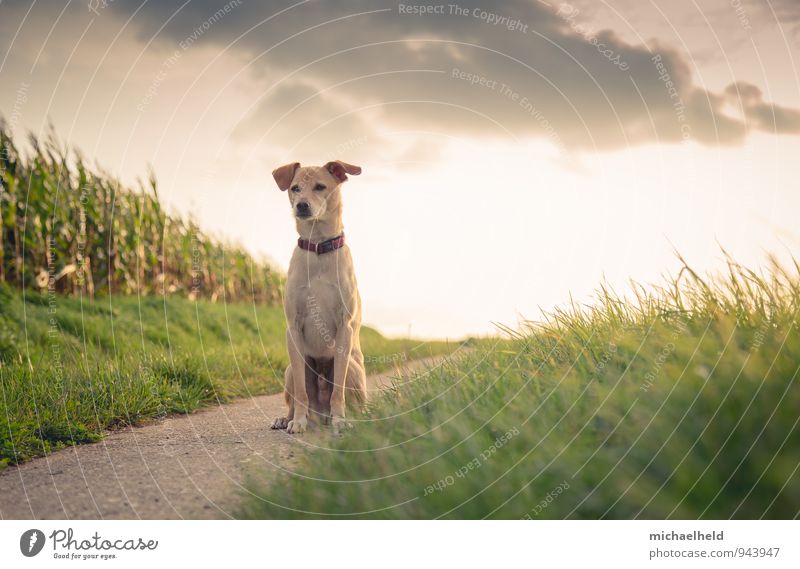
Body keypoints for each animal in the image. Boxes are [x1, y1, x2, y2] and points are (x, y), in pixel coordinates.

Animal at [268, 161, 368, 434]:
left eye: (320, 187)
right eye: (295, 188)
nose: (301, 205)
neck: (318, 247)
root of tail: (320, 414)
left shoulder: (344, 327)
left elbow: (338, 391)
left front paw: (340, 420)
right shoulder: (293, 328)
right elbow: (302, 392)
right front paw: (298, 422)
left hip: (353, 367)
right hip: (291, 369)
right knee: (296, 395)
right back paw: (287, 418)